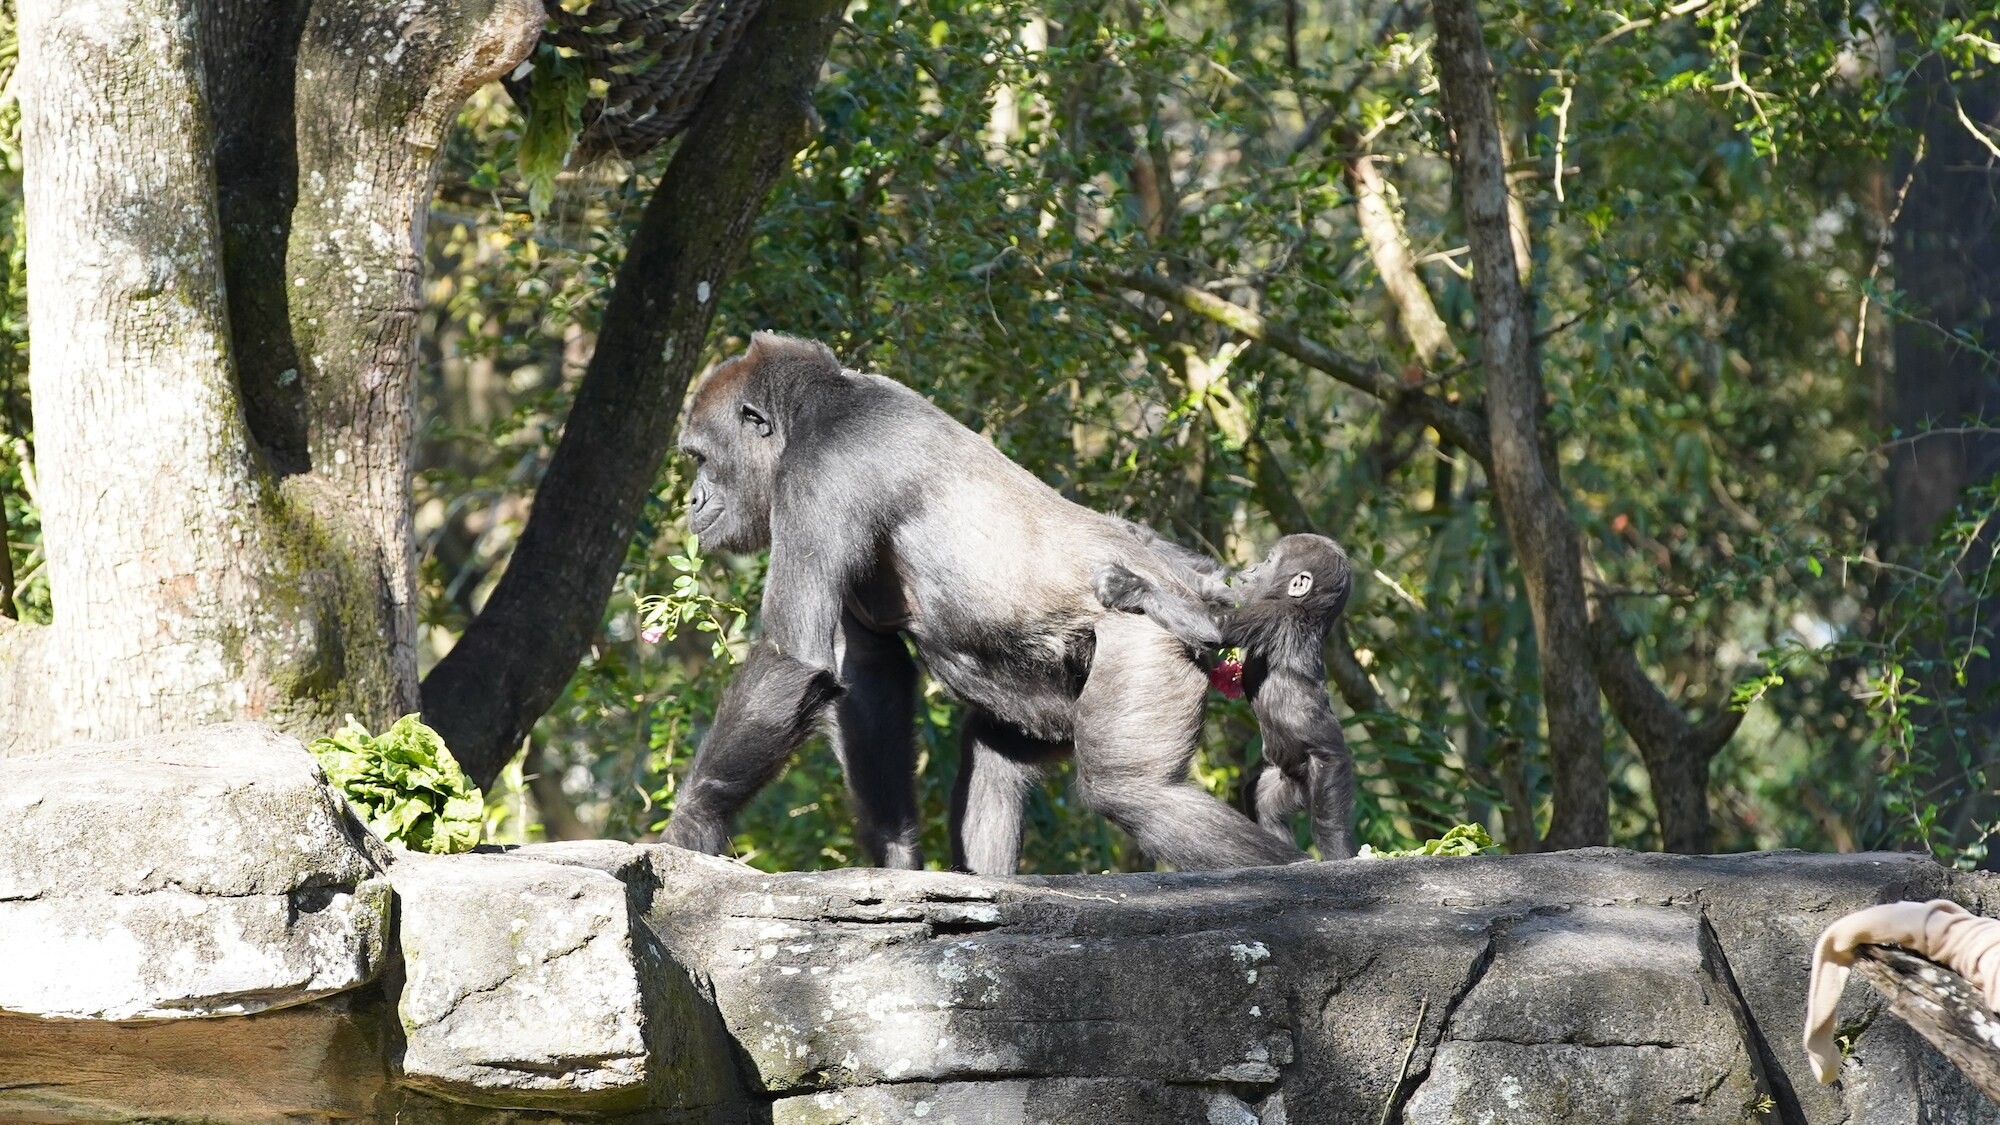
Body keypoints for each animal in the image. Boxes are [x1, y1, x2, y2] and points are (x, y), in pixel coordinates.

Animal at [664, 328, 1304, 872]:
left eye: (700, 459)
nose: (692, 501)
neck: (816, 407)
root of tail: (1196, 593)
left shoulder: (818, 471)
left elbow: (792, 657)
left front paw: (693, 822)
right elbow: (870, 671)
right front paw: (896, 856)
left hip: (1152, 627)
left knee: (1137, 792)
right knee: (997, 750)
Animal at [1096, 532, 1360, 856]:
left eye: (1269, 562)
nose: (1254, 567)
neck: (1306, 610)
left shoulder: (1272, 614)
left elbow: (1215, 626)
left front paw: (1129, 586)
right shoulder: (1252, 598)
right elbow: (1218, 585)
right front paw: (1138, 535)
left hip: (1329, 767)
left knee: (1328, 822)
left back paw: (1340, 851)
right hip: (1292, 782)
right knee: (1262, 801)